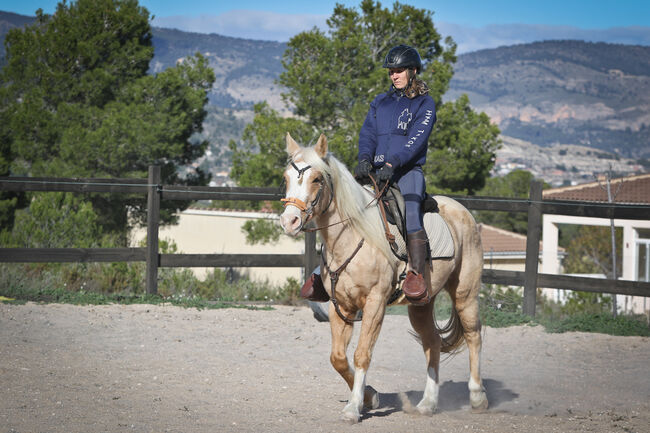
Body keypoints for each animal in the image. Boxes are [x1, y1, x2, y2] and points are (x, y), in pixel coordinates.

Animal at [278, 132, 486, 422]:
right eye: (286, 178)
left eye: (317, 179)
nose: (290, 222)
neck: (352, 236)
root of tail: (463, 211)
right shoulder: (341, 306)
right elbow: (338, 358)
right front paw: (370, 396)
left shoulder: (375, 303)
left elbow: (362, 354)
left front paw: (354, 407)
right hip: (421, 303)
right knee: (432, 342)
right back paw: (428, 403)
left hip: (465, 293)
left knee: (473, 335)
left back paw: (477, 397)